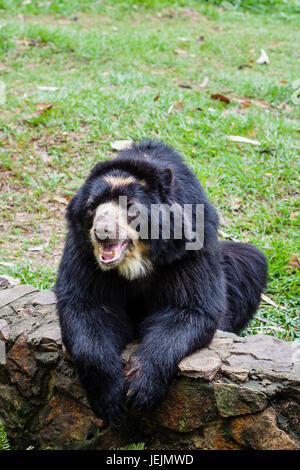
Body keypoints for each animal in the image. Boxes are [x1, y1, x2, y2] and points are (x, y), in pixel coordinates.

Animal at [55, 140, 268, 422]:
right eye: (92, 206)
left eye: (131, 208)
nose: (102, 232)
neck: (138, 258)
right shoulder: (82, 248)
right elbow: (85, 305)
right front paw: (110, 396)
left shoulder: (189, 241)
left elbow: (189, 307)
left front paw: (139, 387)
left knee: (251, 262)